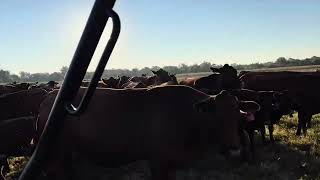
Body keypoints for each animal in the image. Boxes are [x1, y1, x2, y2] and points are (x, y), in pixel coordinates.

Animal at [33, 85, 258, 179]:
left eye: (238, 116)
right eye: (215, 117)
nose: (235, 149)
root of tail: (48, 98)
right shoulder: (158, 161)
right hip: (56, 153)